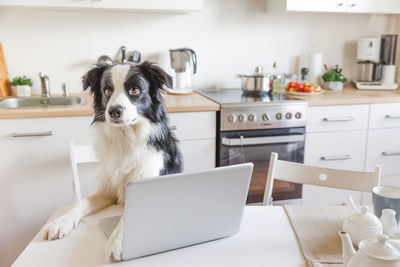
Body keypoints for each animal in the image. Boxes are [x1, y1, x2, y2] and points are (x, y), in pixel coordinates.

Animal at [43, 61, 183, 262]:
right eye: (107, 90)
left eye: (134, 89)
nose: (114, 111)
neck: (126, 140)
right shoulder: (106, 190)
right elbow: (81, 202)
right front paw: (61, 221)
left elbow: (129, 214)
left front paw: (117, 242)